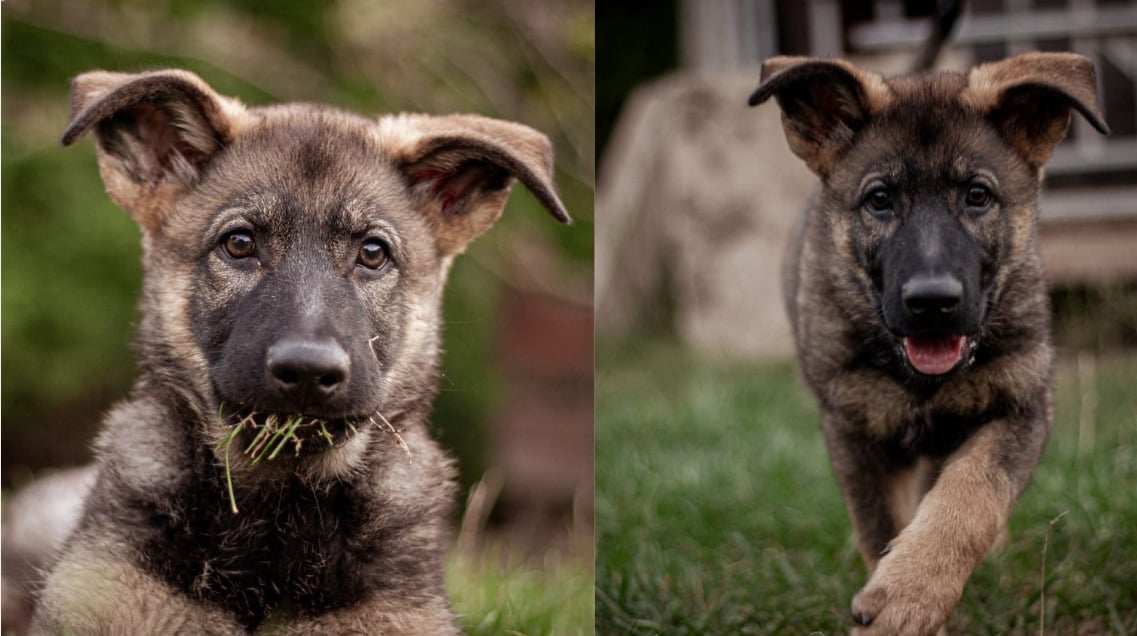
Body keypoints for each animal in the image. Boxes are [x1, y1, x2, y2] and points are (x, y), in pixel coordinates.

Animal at [750, 52, 1105, 632]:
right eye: (879, 200)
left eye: (977, 196)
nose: (932, 300)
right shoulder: (855, 429)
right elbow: (881, 525)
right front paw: (899, 592)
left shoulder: (1022, 403)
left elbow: (971, 496)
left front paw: (912, 592)